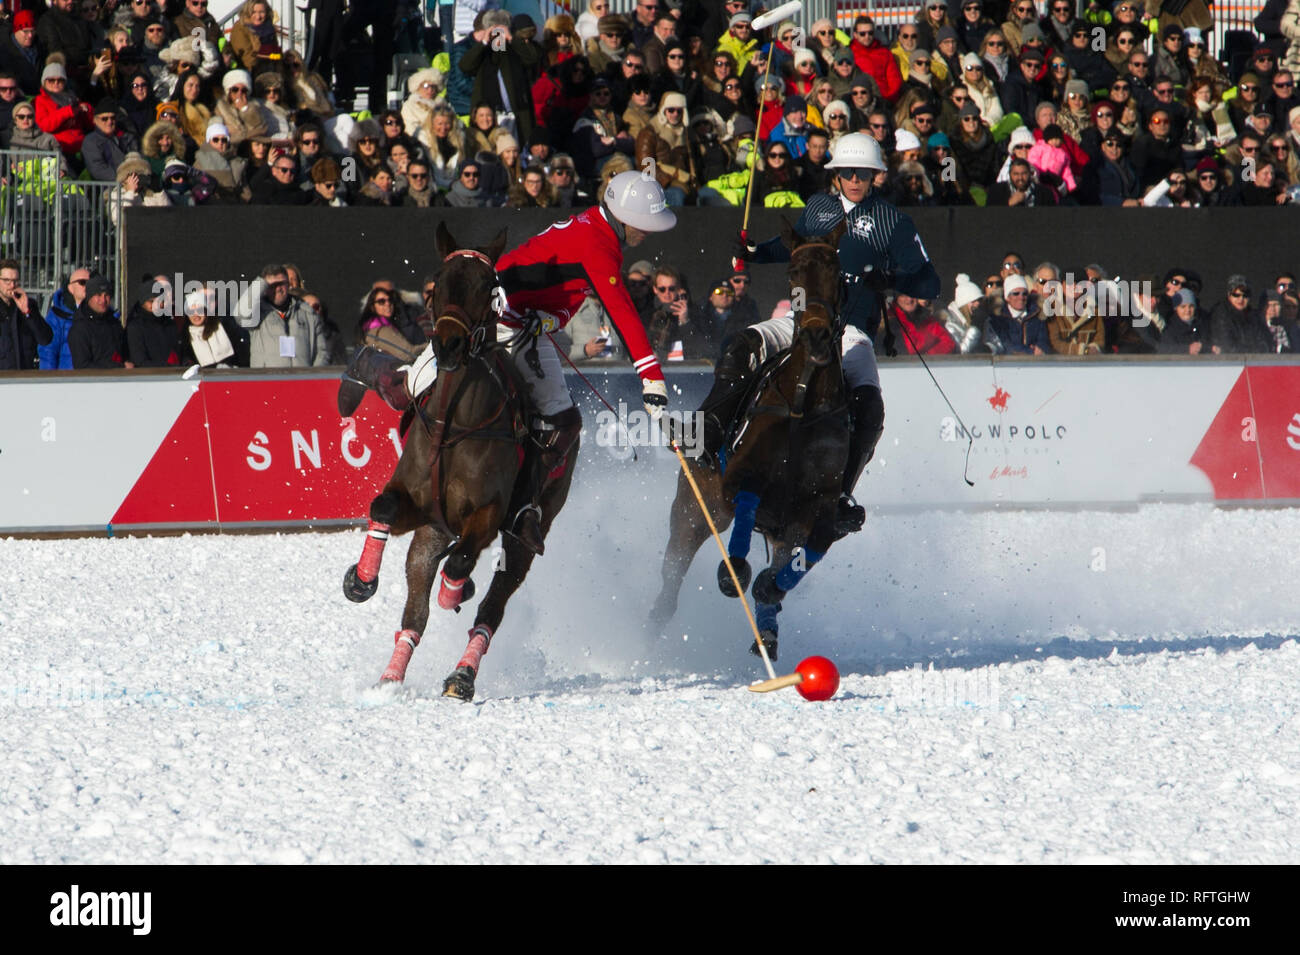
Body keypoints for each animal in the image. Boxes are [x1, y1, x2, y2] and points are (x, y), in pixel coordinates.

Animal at [340, 223, 579, 701]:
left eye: (489, 286)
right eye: (438, 281)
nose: (448, 344)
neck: (455, 423)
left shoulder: (485, 516)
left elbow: (461, 563)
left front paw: (454, 592)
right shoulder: (416, 505)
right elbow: (382, 506)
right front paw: (361, 580)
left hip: (527, 534)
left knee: (491, 607)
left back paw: (461, 674)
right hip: (431, 533)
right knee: (415, 614)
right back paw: (390, 678)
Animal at [650, 222, 852, 665]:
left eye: (836, 270)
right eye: (793, 272)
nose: (816, 335)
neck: (802, 403)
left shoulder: (818, 505)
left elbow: (799, 559)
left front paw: (767, 591)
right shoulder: (739, 480)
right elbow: (744, 508)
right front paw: (735, 574)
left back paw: (767, 630)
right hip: (694, 506)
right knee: (673, 567)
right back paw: (655, 621)